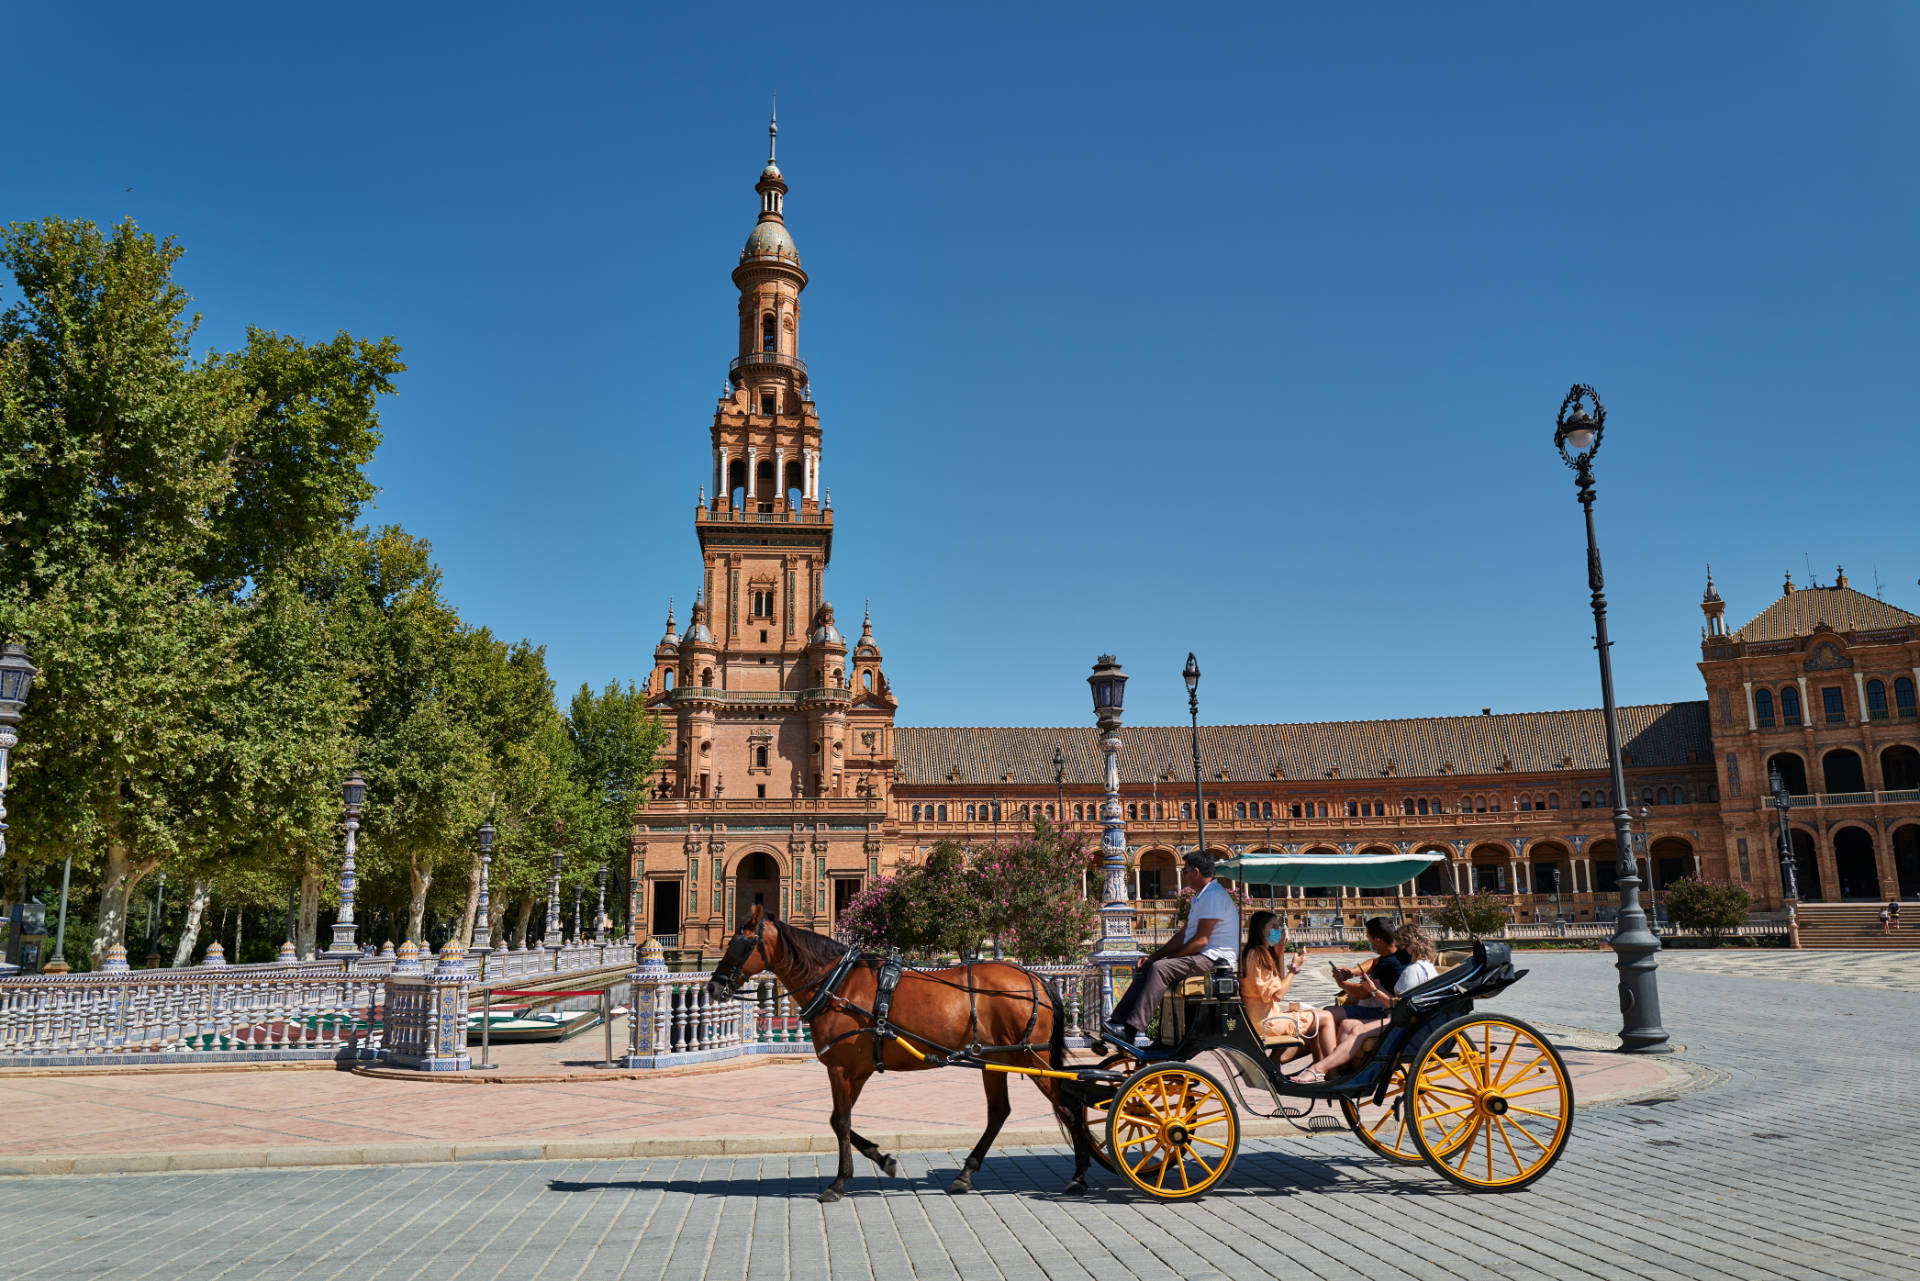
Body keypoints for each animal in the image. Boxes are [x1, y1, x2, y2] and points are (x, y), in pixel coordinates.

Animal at [706, 906, 1105, 1198]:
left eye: (739, 943)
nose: (713, 986)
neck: (836, 985)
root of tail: (1035, 978)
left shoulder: (840, 1067)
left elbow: (840, 1121)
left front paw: (839, 1182)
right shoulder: (857, 1069)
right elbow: (840, 1120)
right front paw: (882, 1158)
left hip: (1032, 1058)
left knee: (1069, 1108)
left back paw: (1079, 1177)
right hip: (996, 1059)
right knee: (1000, 1112)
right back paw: (965, 1174)